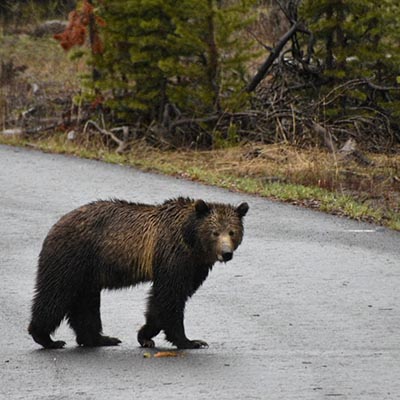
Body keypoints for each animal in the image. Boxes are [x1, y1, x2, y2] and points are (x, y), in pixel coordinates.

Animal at [28, 198, 247, 348]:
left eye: (232, 232)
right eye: (215, 232)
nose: (226, 253)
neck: (191, 241)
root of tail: (57, 224)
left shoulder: (194, 267)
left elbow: (166, 299)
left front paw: (145, 335)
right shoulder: (173, 256)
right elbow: (170, 296)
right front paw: (190, 341)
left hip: (87, 274)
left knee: (85, 304)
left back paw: (99, 338)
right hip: (73, 257)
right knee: (55, 294)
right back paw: (46, 338)